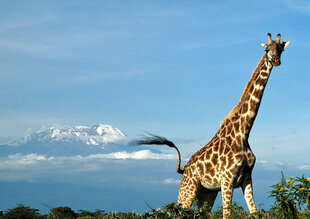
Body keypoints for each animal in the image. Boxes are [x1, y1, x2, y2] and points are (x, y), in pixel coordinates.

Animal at [132, 33, 290, 218]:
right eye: (266, 49)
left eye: (280, 49)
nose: (276, 61)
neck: (244, 132)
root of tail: (184, 168)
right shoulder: (227, 180)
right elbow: (227, 214)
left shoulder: (246, 178)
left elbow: (254, 212)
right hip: (188, 190)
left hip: (207, 193)